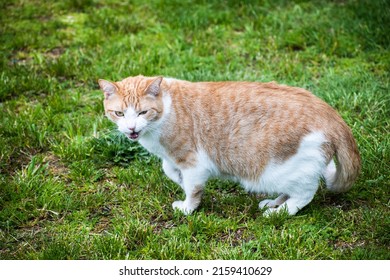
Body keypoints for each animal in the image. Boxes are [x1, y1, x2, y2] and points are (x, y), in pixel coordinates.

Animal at [99, 75, 362, 215]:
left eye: (143, 112)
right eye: (119, 113)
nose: (131, 129)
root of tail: (331, 115)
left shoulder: (193, 163)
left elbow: (193, 189)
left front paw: (188, 207)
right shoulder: (173, 159)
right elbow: (170, 171)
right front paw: (178, 181)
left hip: (278, 169)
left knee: (305, 192)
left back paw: (279, 212)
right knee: (293, 189)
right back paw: (275, 202)